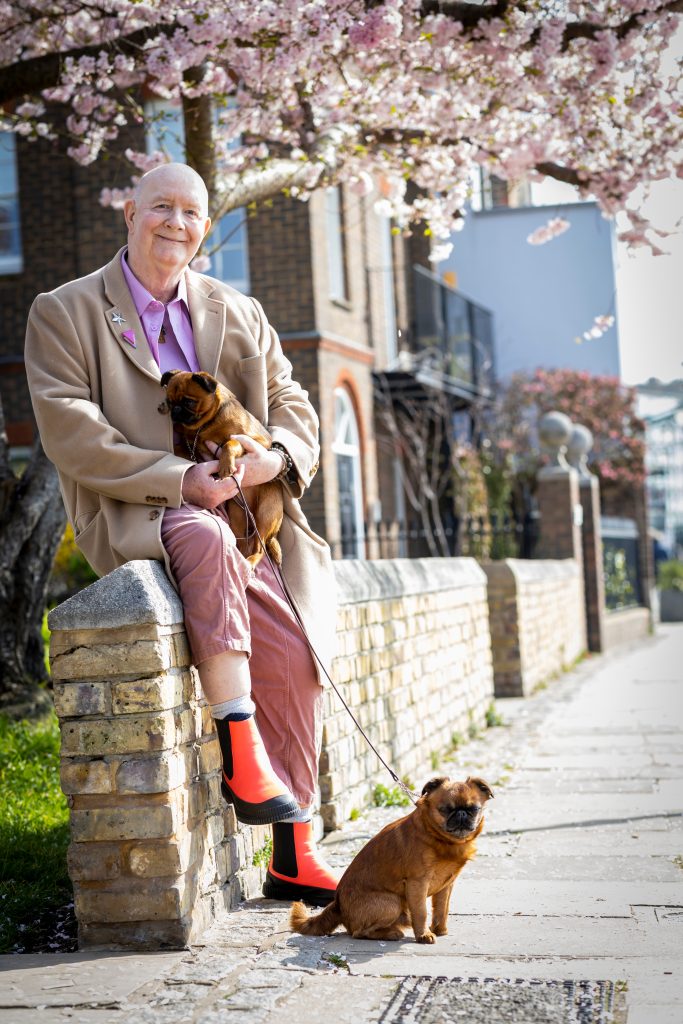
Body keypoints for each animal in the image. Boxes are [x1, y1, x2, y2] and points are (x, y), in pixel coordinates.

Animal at [162, 368, 282, 565]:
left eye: (189, 401)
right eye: (170, 402)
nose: (175, 410)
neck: (205, 425)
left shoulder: (254, 440)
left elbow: (230, 443)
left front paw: (226, 464)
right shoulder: (193, 447)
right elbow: (181, 446)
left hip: (265, 513)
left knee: (260, 547)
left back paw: (250, 561)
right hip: (238, 516)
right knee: (245, 542)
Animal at [288, 774, 491, 942]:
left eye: (474, 809)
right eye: (445, 810)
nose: (462, 813)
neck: (441, 838)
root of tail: (337, 904)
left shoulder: (446, 886)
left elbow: (442, 909)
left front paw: (440, 930)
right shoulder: (417, 884)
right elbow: (422, 912)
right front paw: (423, 935)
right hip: (393, 902)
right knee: (358, 933)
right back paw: (391, 934)